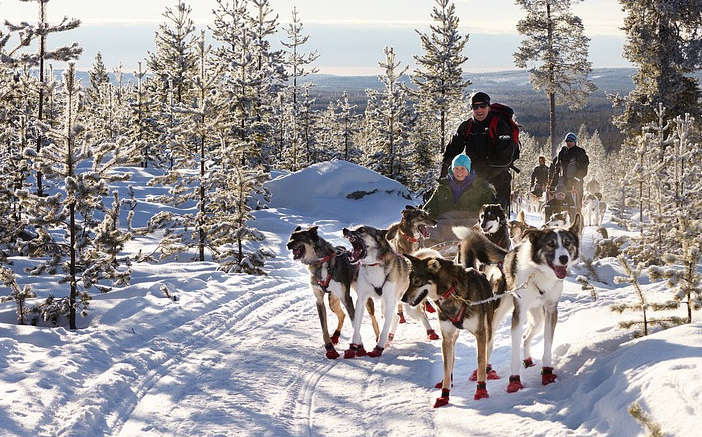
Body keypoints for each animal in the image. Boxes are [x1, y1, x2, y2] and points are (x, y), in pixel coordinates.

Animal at [288, 225, 380, 358]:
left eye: (299, 237)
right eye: (291, 237)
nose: (288, 244)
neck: (320, 263)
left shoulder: (347, 299)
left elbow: (355, 324)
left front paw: (359, 347)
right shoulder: (319, 301)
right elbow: (324, 328)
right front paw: (330, 348)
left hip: (363, 298)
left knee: (373, 317)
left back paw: (378, 337)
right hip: (332, 301)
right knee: (342, 315)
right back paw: (336, 336)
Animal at [342, 227, 410, 356]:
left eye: (361, 230)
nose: (345, 229)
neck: (374, 265)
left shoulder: (390, 301)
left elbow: (384, 328)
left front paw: (379, 347)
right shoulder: (362, 300)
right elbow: (356, 324)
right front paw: (354, 345)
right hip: (385, 306)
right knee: (396, 317)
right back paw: (390, 337)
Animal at [404, 235, 516, 406]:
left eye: (417, 282)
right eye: (410, 280)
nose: (403, 299)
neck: (451, 292)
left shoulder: (480, 333)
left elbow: (480, 361)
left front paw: (481, 390)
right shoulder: (447, 337)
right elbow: (446, 366)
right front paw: (444, 394)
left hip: (489, 330)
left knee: (487, 352)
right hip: (453, 337)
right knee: (451, 360)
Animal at [506, 214, 584, 392]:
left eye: (567, 243)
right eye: (551, 244)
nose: (564, 258)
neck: (541, 274)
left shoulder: (551, 310)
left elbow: (548, 343)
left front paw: (547, 372)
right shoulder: (519, 313)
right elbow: (514, 350)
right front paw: (514, 380)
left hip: (538, 319)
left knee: (526, 337)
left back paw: (528, 360)